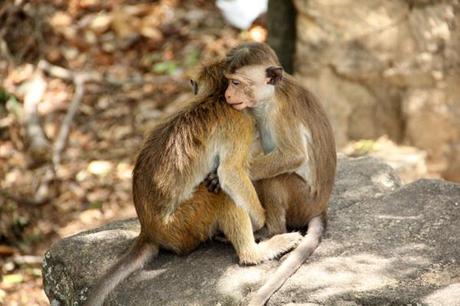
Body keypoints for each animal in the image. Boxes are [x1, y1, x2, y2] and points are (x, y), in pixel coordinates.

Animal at [84, 55, 304, 306]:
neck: (214, 97)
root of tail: (148, 230)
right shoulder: (241, 123)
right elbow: (231, 172)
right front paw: (260, 219)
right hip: (183, 226)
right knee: (219, 196)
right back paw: (254, 252)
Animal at [201, 43, 338, 306]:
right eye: (229, 82)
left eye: (236, 82)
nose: (228, 96)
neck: (270, 96)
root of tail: (320, 207)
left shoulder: (282, 114)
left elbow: (294, 155)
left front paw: (217, 176)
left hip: (303, 201)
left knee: (274, 180)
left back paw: (271, 233)